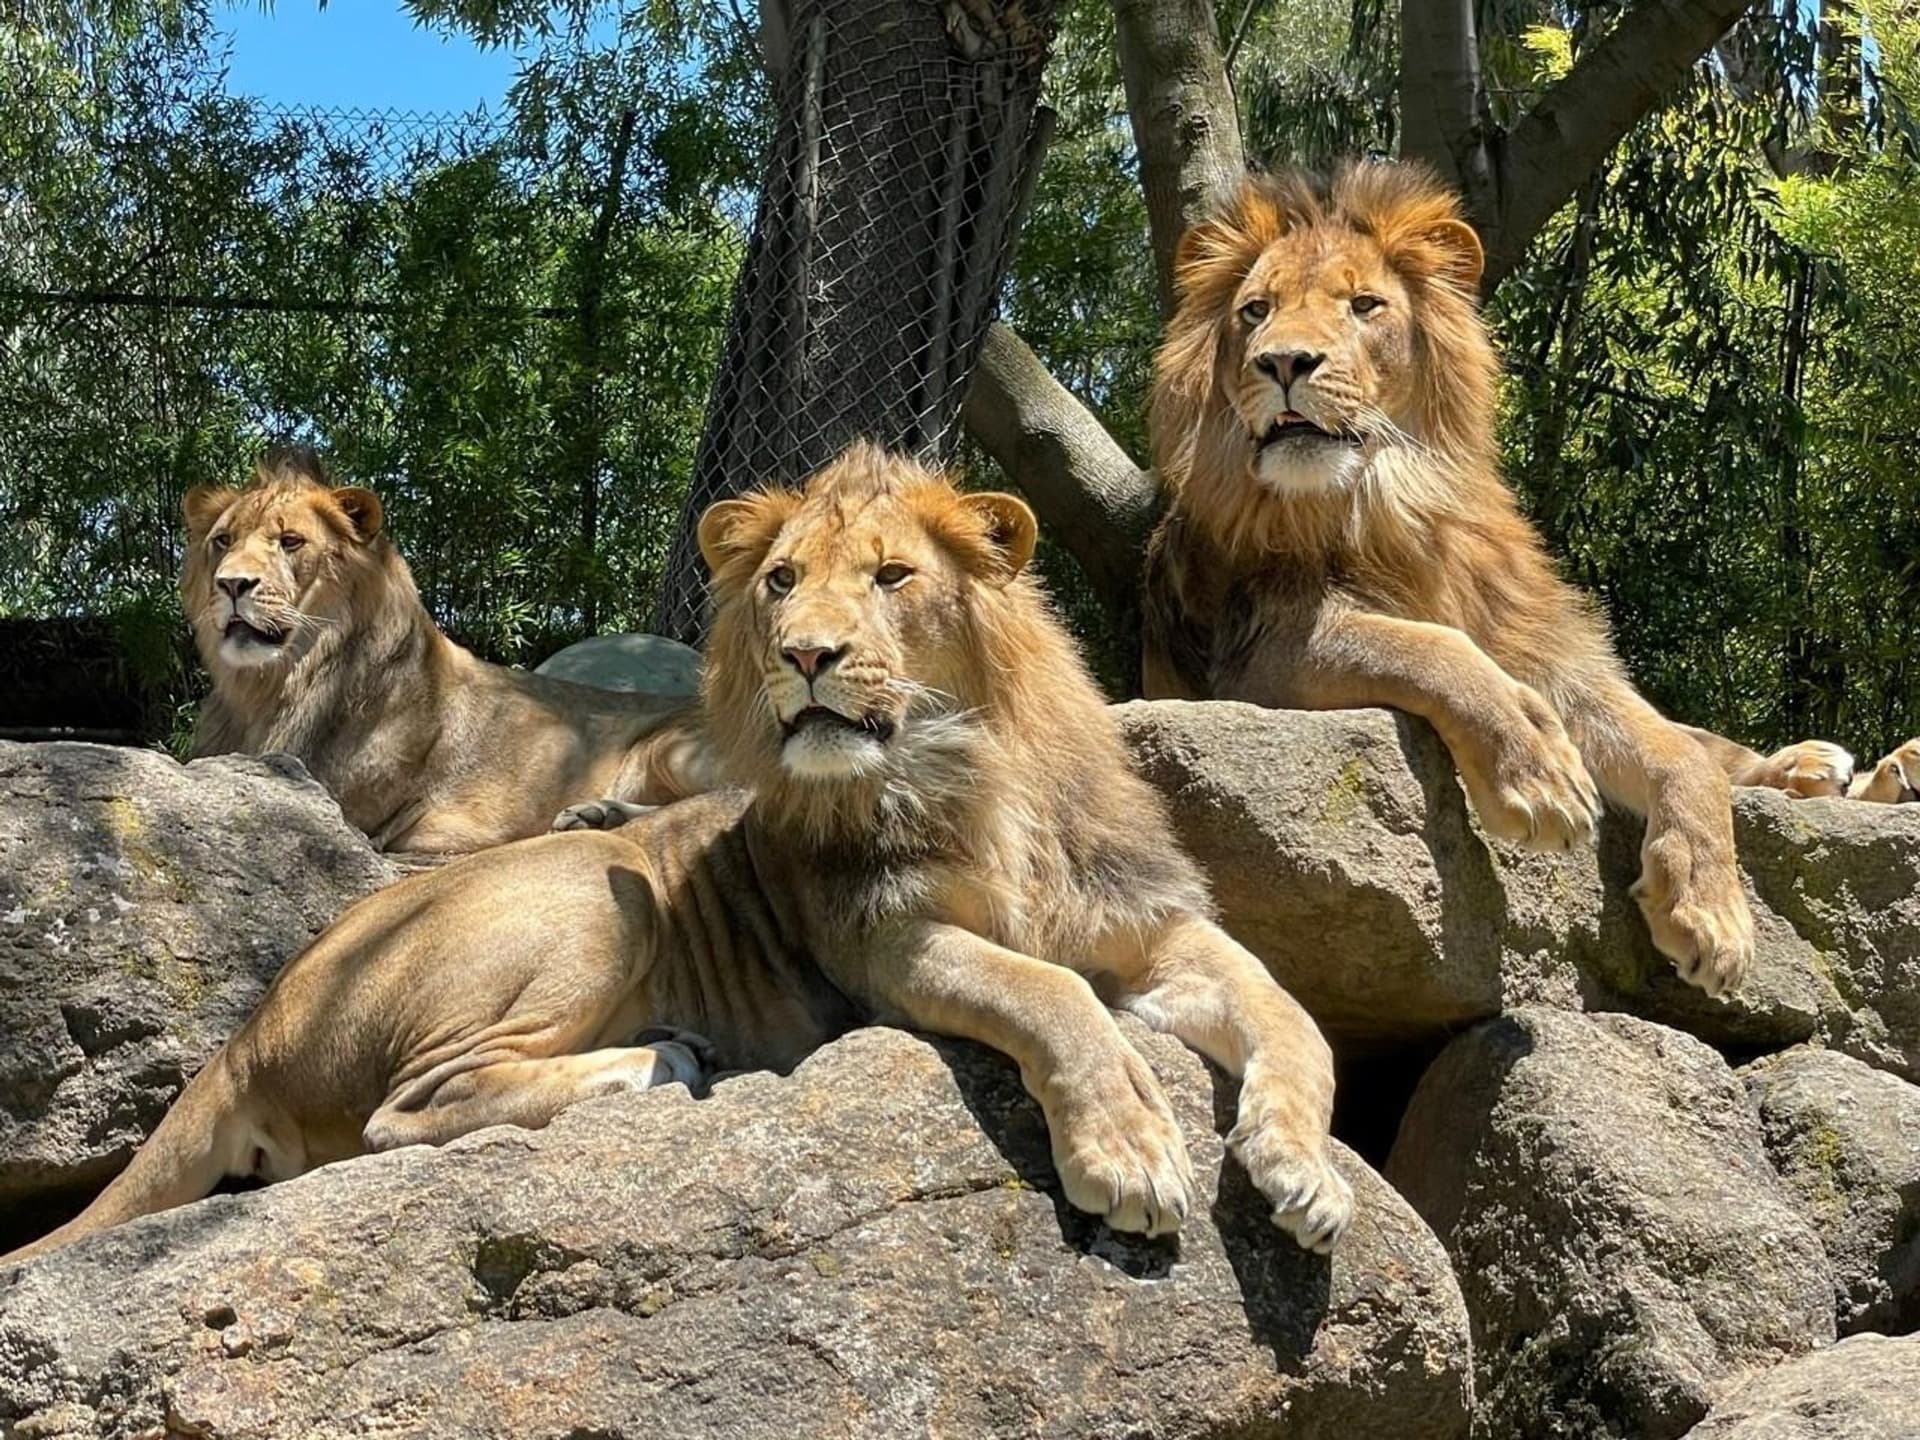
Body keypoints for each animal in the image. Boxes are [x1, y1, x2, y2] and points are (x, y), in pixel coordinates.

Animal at [181, 448, 712, 852]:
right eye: (223, 540)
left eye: (291, 541)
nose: (232, 584)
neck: (272, 687)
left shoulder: (337, 802)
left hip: (669, 747)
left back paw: (598, 814)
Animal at [1141, 162, 1895, 997]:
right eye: (1256, 311)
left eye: (1364, 306)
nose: (1282, 362)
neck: (1388, 499)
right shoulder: (1259, 656)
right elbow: (1434, 647)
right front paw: (1542, 777)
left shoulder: (1552, 653)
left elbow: (1679, 751)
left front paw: (1713, 910)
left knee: (1712, 744)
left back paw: (1837, 769)